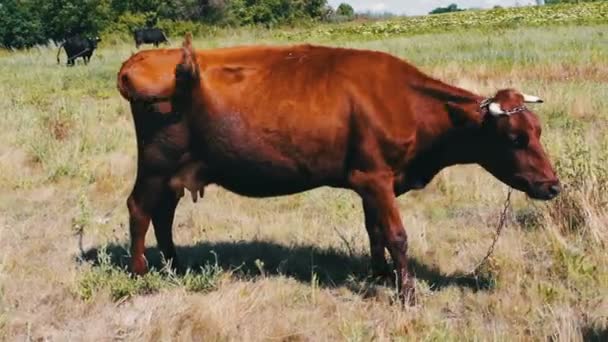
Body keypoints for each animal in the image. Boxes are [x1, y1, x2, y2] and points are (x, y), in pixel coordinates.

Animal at [116, 34, 564, 304]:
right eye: (515, 138)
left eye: (539, 131)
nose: (553, 186)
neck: (403, 100)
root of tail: (146, 58)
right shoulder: (375, 178)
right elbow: (397, 235)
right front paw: (407, 294)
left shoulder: (372, 182)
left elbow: (375, 231)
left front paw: (380, 274)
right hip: (155, 164)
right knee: (139, 209)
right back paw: (140, 273)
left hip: (176, 171)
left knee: (163, 213)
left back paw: (174, 264)